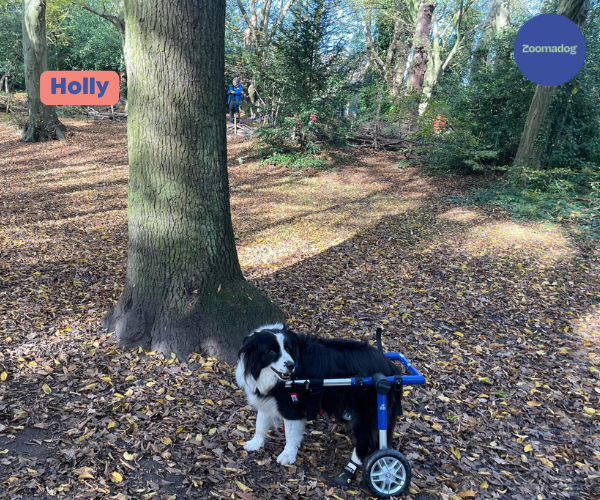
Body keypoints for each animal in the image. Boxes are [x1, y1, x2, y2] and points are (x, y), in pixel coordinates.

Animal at [236, 322, 404, 482]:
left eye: (288, 349)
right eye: (271, 351)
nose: (290, 365)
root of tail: (391, 369)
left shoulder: (291, 407)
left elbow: (290, 434)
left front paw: (287, 455)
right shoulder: (268, 400)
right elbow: (260, 424)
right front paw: (255, 443)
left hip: (367, 410)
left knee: (365, 439)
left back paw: (352, 469)